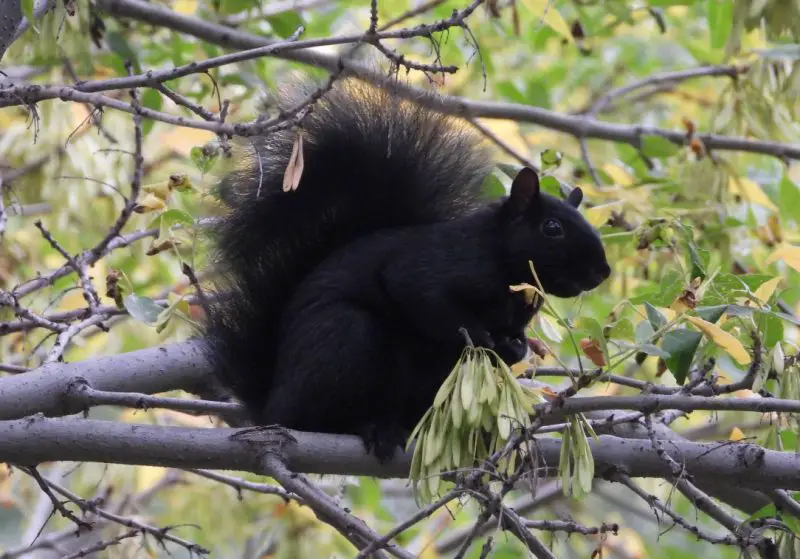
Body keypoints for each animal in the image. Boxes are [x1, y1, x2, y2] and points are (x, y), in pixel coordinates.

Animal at [203, 78, 611, 461]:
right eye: (552, 229)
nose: (602, 271)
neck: (505, 268)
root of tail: (271, 406)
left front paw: (513, 348)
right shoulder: (434, 266)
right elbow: (424, 298)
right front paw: (479, 336)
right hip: (342, 339)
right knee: (316, 418)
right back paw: (372, 428)